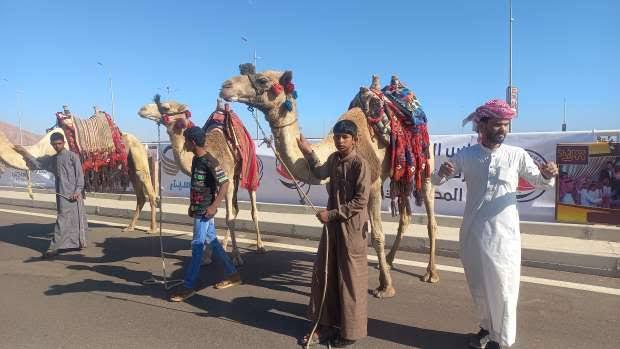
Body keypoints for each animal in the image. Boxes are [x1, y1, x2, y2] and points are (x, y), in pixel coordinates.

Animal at [0, 119, 159, 234]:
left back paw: (152, 229)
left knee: (149, 190)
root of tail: (142, 143)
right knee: (140, 196)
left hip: (138, 155)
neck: (42, 148)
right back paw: (130, 227)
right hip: (130, 167)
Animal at [138, 97, 264, 264]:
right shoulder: (214, 184)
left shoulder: (227, 181)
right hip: (235, 178)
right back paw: (224, 245)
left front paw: (237, 257)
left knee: (252, 209)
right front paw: (207, 255)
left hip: (248, 173)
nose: (142, 109)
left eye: (165, 107)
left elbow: (228, 217)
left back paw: (260, 246)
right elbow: (212, 215)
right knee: (235, 209)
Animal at [220, 66, 438, 294]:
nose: (225, 86)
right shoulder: (333, 185)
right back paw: (388, 260)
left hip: (426, 166)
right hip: (400, 175)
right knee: (405, 215)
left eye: (262, 80)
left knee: (430, 215)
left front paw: (385, 287)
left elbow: (377, 235)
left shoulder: (372, 185)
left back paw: (430, 273)